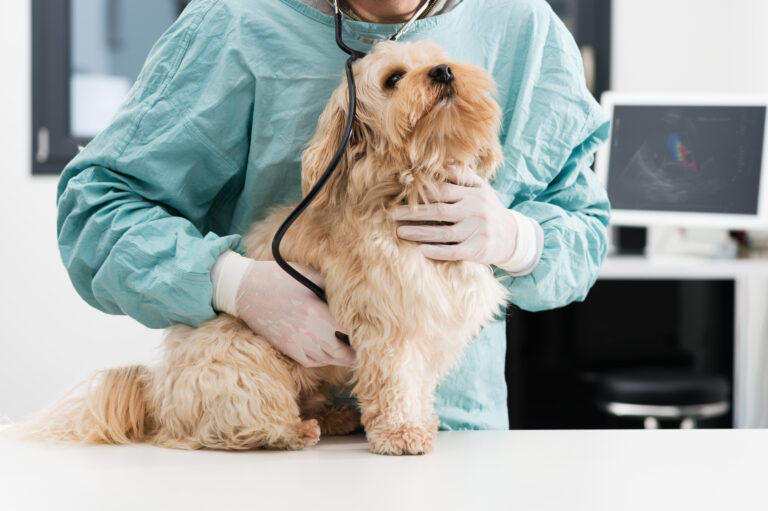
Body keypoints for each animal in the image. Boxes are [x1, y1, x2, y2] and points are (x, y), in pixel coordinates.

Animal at [22, 40, 510, 456]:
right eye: (394, 79)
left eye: (440, 58)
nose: (444, 72)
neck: (410, 188)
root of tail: (156, 400)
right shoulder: (387, 324)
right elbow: (396, 383)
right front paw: (401, 433)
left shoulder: (432, 320)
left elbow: (420, 384)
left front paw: (423, 421)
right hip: (245, 358)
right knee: (239, 425)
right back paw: (296, 430)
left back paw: (333, 416)